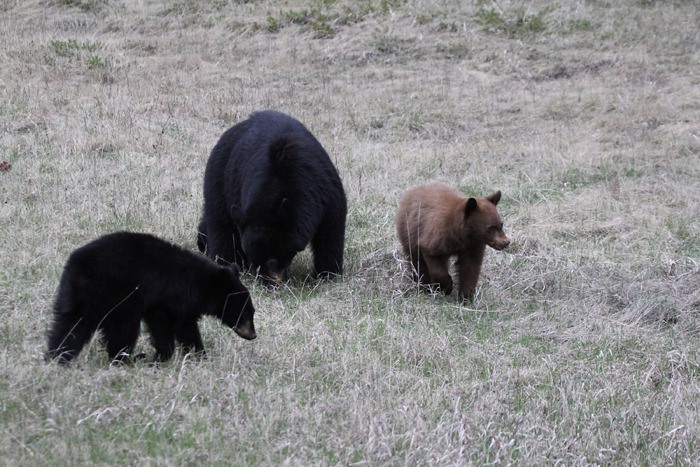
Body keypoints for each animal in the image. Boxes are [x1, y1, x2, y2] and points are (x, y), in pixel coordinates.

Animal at [45, 232, 258, 368]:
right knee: (123, 330)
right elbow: (162, 326)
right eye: (246, 312)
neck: (198, 284)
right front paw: (162, 357)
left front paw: (199, 354)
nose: (253, 335)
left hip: (76, 297)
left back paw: (57, 357)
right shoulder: (166, 298)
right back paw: (127, 359)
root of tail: (79, 267)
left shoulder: (183, 307)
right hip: (118, 297)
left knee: (69, 326)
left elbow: (187, 328)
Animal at [197, 110, 348, 286]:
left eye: (272, 259)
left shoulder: (325, 192)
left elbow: (331, 231)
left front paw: (327, 275)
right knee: (221, 226)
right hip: (219, 180)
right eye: (253, 257)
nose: (267, 283)